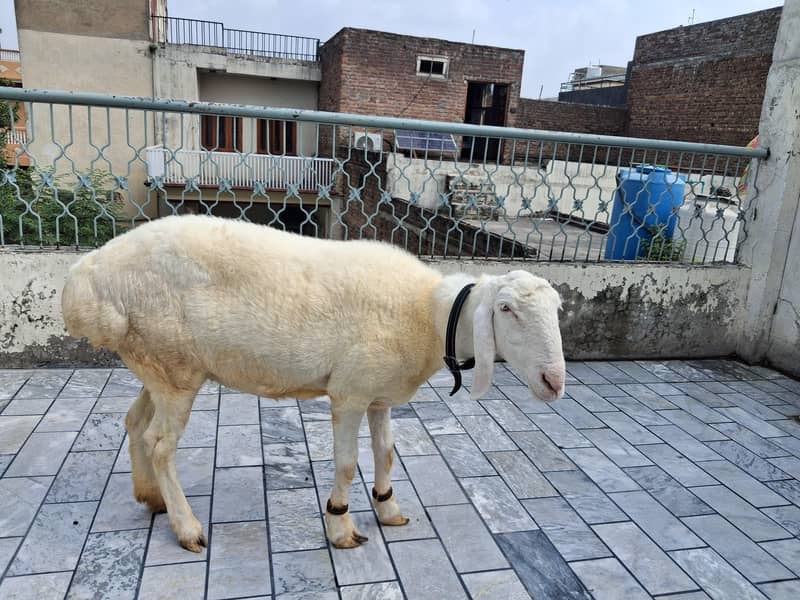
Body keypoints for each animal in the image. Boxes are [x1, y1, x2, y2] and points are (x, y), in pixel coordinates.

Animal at [61, 214, 565, 551]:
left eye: (557, 309)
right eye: (506, 310)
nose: (554, 382)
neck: (427, 314)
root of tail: (85, 281)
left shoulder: (380, 395)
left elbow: (386, 453)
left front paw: (388, 510)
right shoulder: (350, 392)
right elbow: (346, 464)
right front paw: (341, 527)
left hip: (156, 363)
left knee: (135, 424)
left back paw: (151, 498)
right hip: (173, 363)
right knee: (161, 444)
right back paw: (187, 528)